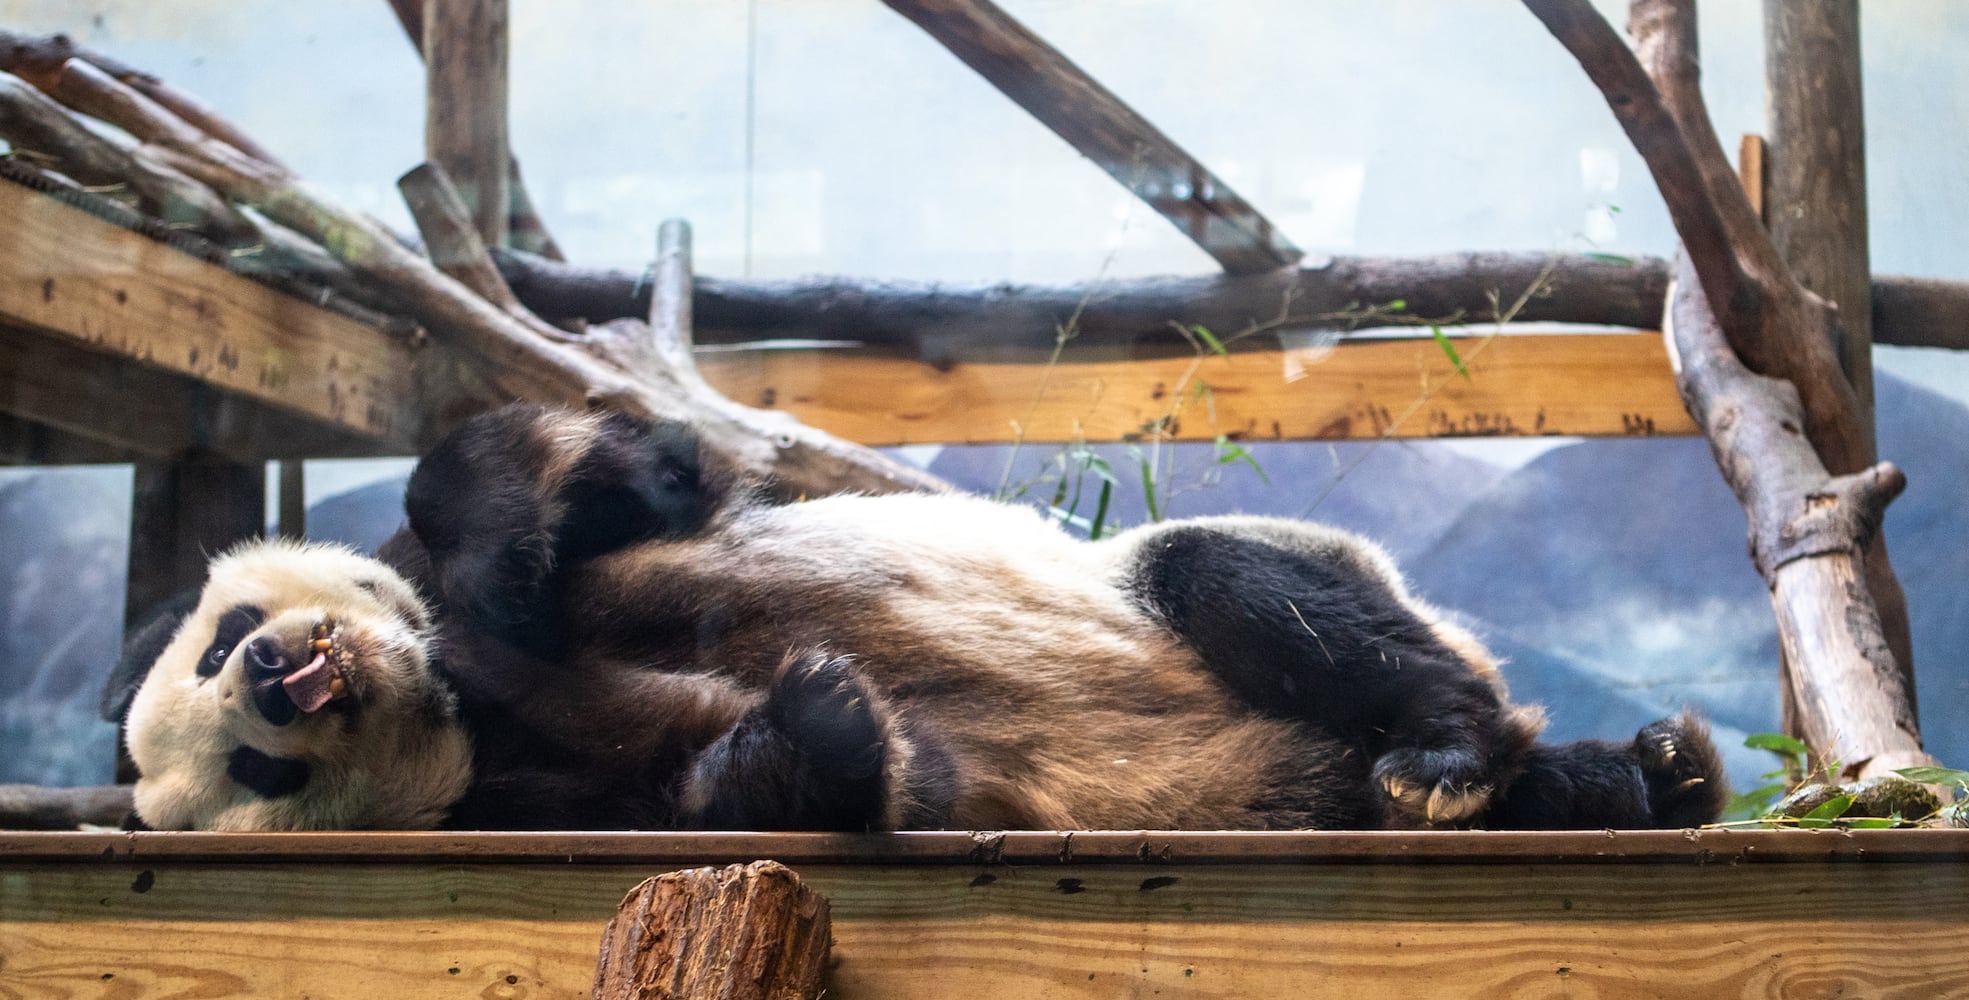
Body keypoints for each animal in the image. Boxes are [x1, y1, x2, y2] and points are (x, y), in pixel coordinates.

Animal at [107, 401, 1724, 830]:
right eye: (255, 772)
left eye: (217, 637)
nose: (276, 672)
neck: (472, 703)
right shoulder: (543, 798)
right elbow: (770, 789)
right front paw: (823, 715)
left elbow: (616, 473)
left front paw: (503, 559)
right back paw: (1630, 778)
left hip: (1195, 578)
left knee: (1252, 587)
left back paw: (1454, 757)